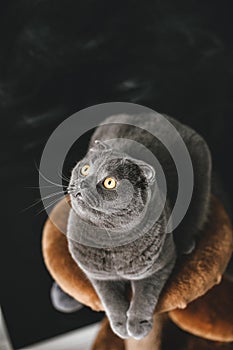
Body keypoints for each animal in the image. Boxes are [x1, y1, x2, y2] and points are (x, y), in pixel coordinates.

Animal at [51, 113, 211, 340]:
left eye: (110, 182)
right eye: (85, 169)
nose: (83, 183)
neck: (110, 241)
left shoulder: (158, 266)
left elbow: (145, 294)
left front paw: (137, 326)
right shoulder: (98, 275)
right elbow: (110, 299)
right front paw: (119, 325)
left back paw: (186, 244)